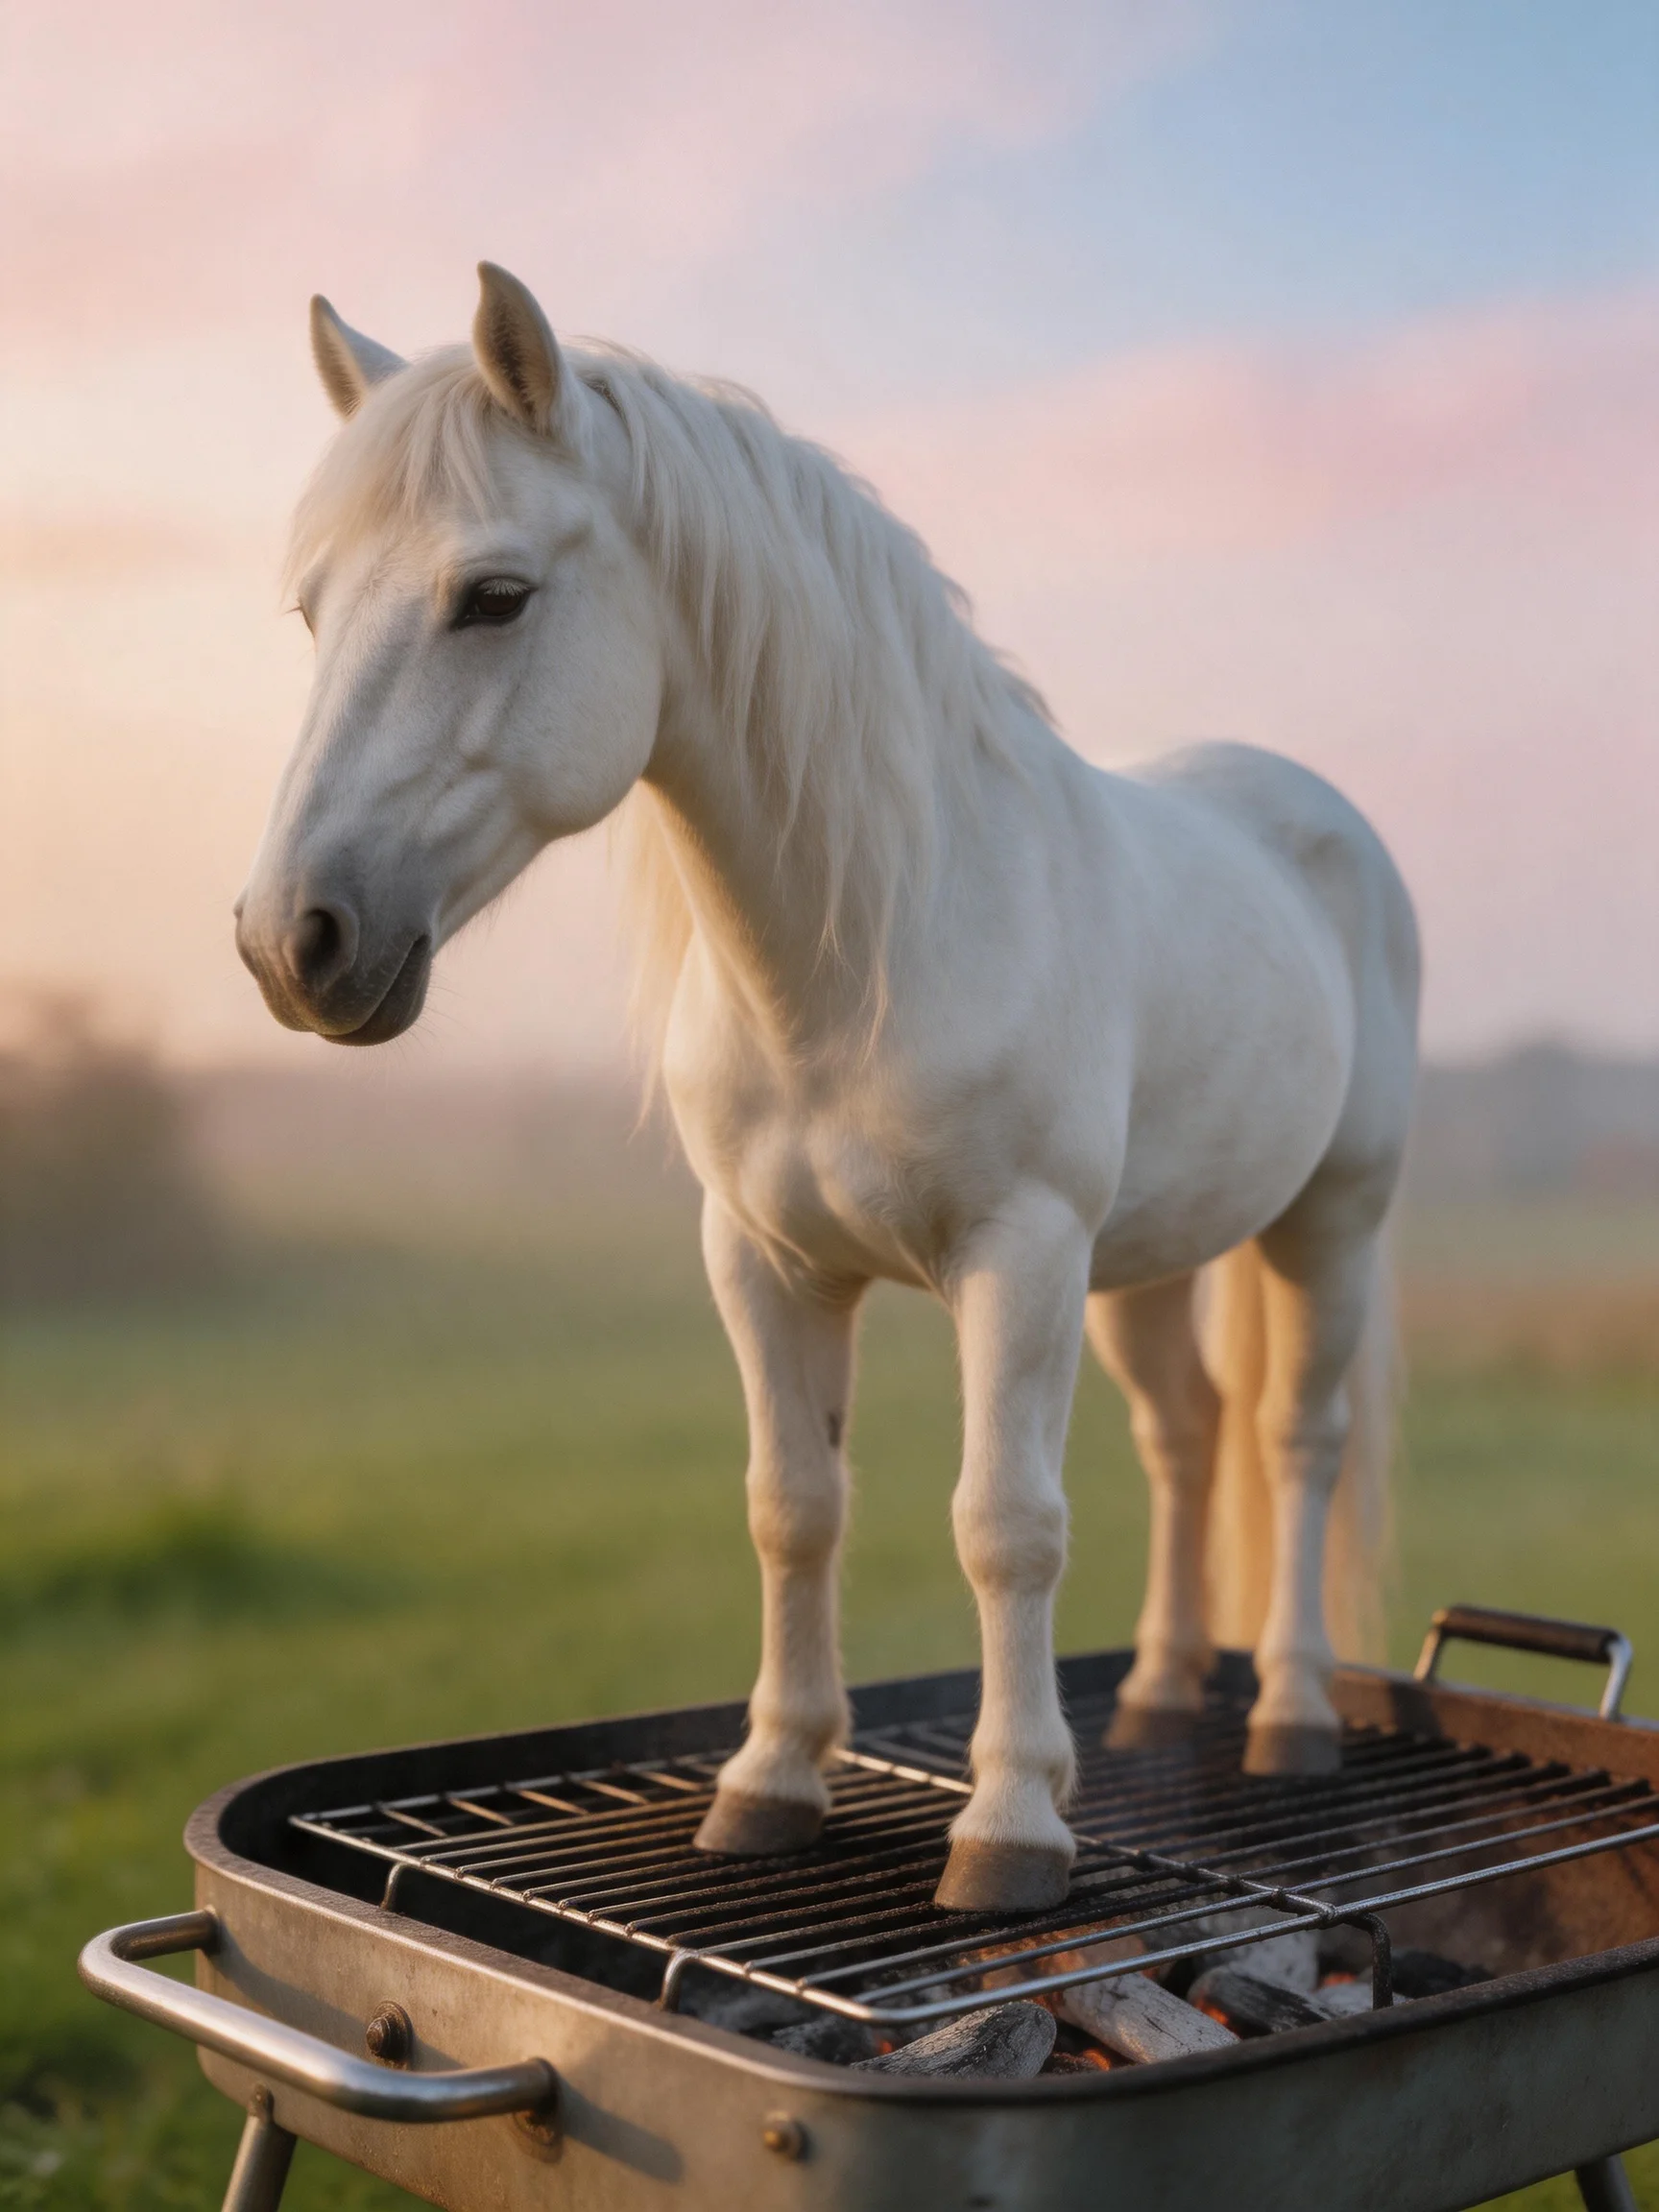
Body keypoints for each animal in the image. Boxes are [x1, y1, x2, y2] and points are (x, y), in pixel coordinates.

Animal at [236, 263, 1420, 1914]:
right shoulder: (766, 1260)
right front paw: (771, 1782)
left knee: (1292, 1445)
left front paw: (1010, 1826)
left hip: (1329, 1225)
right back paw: (1157, 1692)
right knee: (1185, 1438)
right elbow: (794, 1507)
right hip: (1146, 1261)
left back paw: (1291, 1716)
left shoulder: (1019, 1255)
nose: (294, 942)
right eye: (312, 609)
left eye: (494, 596)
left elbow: (1005, 1525)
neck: (871, 948)